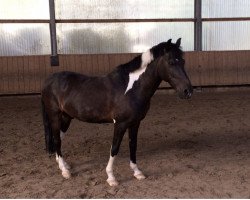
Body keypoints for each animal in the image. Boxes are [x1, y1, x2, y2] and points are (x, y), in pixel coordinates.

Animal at [41, 38, 193, 187]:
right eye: (171, 62)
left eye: (183, 61)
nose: (188, 91)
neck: (131, 88)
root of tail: (49, 80)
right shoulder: (120, 124)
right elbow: (114, 148)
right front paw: (111, 178)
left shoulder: (135, 123)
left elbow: (133, 145)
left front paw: (137, 172)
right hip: (55, 116)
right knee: (56, 139)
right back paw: (65, 171)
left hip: (67, 117)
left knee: (59, 138)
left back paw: (64, 164)